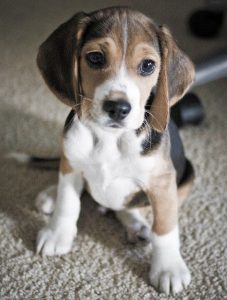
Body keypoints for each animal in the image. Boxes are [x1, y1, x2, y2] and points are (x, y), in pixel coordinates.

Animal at [35, 7, 195, 296]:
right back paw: (51, 195)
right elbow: (68, 202)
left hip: (188, 176)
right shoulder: (72, 161)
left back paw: (136, 224)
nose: (118, 108)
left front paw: (168, 268)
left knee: (130, 206)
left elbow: (165, 228)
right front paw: (57, 233)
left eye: (148, 65)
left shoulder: (162, 182)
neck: (111, 138)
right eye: (95, 58)